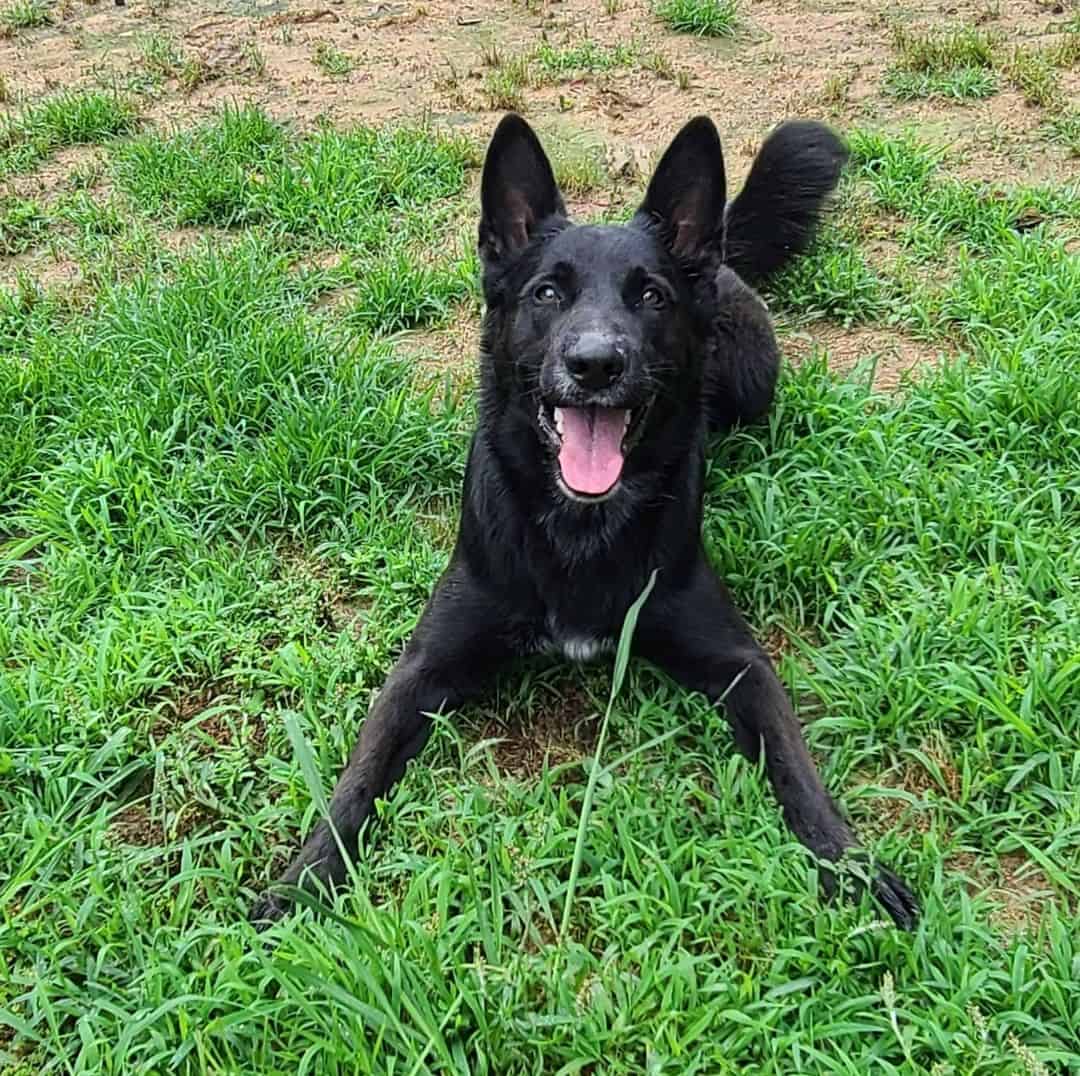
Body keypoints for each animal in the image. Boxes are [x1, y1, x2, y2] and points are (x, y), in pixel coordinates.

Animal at [252, 113, 920, 929]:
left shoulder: (740, 663)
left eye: (651, 296)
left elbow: (796, 766)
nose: (595, 364)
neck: (577, 527)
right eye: (547, 292)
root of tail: (719, 250)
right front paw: (302, 879)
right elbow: (355, 777)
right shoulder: (424, 667)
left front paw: (854, 867)